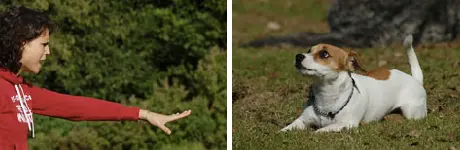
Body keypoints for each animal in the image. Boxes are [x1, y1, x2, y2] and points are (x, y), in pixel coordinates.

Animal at [280, 35, 428, 132]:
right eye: (309, 50)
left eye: (324, 54)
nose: (298, 56)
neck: (326, 95)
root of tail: (415, 79)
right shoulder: (302, 120)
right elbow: (287, 129)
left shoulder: (346, 123)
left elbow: (322, 130)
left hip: (411, 111)